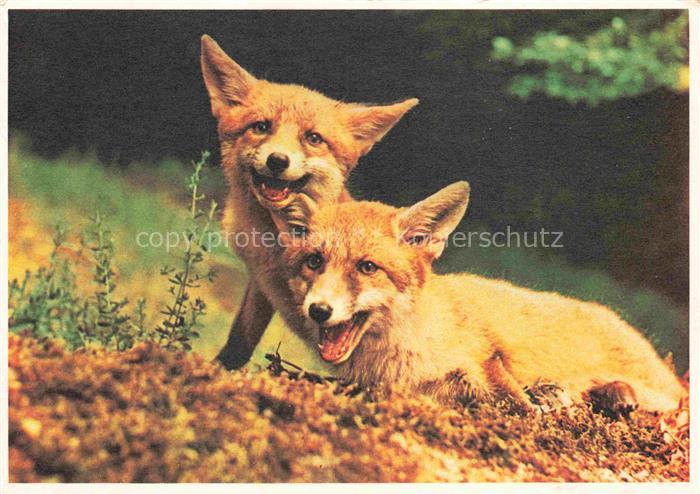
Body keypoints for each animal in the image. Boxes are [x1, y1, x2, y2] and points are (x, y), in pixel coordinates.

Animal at [200, 35, 418, 369]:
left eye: (313, 138)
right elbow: (241, 337)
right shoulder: (260, 283)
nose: (277, 160)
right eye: (261, 127)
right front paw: (221, 368)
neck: (270, 241)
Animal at [279, 182, 687, 414]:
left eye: (366, 267)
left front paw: (540, 405)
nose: (319, 310)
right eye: (315, 261)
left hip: (659, 389)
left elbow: (514, 404)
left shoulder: (485, 360)